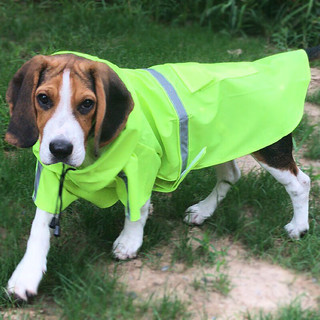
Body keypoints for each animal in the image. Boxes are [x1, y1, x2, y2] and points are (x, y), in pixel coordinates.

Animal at [3, 47, 318, 300]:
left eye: (87, 104)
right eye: (43, 99)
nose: (60, 149)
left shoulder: (141, 163)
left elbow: (137, 207)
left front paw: (130, 240)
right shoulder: (51, 177)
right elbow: (39, 226)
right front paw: (26, 274)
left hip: (269, 147)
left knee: (301, 182)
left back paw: (298, 226)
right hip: (218, 144)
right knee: (231, 174)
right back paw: (203, 210)